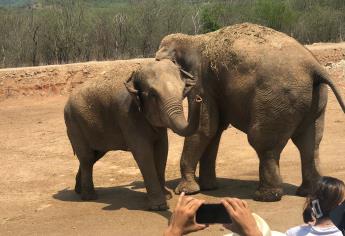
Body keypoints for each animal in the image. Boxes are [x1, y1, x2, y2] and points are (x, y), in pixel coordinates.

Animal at [63, 59, 202, 210]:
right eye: (153, 95)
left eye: (182, 91)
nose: (199, 99)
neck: (135, 75)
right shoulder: (128, 115)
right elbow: (143, 153)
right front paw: (159, 206)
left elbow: (162, 150)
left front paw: (166, 196)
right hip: (74, 124)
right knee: (87, 158)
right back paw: (89, 197)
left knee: (94, 156)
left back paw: (79, 190)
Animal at [155, 23, 344, 202]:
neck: (191, 40)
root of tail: (314, 67)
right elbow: (214, 130)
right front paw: (209, 188)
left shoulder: (201, 82)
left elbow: (204, 129)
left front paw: (187, 191)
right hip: (315, 98)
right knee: (309, 143)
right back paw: (307, 192)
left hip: (277, 99)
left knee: (262, 142)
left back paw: (266, 196)